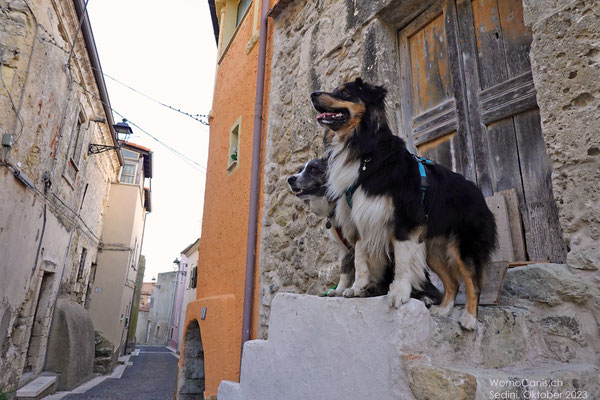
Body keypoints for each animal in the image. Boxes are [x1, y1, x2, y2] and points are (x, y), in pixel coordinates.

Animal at [310, 79, 496, 332]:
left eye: (345, 92)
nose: (312, 94)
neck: (365, 151)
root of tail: (479, 193)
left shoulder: (404, 222)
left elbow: (401, 262)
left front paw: (398, 293)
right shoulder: (362, 218)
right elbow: (360, 258)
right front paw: (357, 289)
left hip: (462, 246)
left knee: (472, 281)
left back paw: (468, 319)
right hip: (433, 249)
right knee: (451, 282)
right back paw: (443, 311)